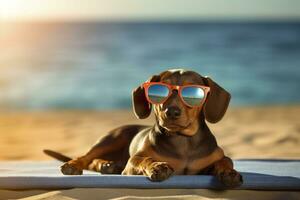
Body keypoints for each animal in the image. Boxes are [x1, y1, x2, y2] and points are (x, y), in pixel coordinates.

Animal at [45, 69, 245, 188]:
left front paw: (228, 172)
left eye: (193, 93)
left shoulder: (210, 162)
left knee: (93, 162)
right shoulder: (133, 162)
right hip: (111, 138)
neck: (183, 140)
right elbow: (144, 159)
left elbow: (225, 160)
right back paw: (76, 165)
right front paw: (157, 166)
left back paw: (108, 165)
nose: (171, 112)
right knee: (86, 158)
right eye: (160, 91)